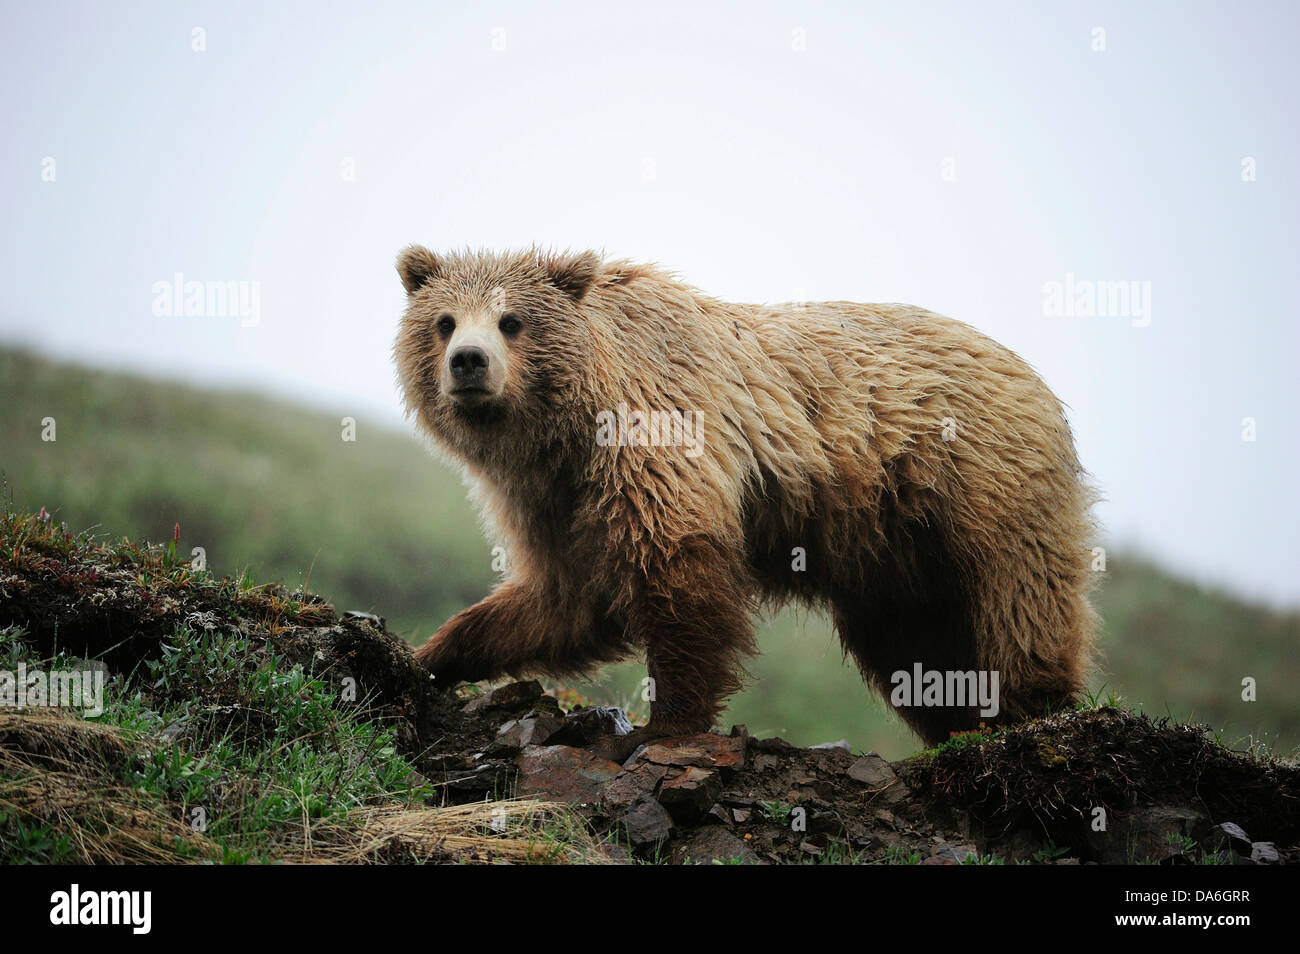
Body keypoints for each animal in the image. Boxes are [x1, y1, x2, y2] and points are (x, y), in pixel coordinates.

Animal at [392, 246, 1097, 748]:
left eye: (512, 321)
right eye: (443, 322)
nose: (469, 361)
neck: (569, 428)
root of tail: (1031, 374)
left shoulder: (655, 434)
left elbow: (676, 569)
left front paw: (666, 722)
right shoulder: (551, 499)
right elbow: (564, 597)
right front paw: (431, 655)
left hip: (979, 480)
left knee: (1019, 593)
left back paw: (1028, 713)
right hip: (894, 550)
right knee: (914, 648)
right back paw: (957, 721)